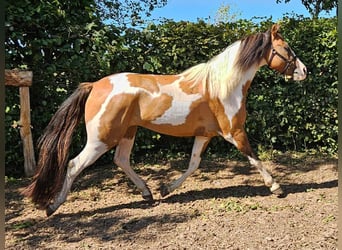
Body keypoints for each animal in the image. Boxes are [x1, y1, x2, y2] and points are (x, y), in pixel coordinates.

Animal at [23, 24, 308, 217]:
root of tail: (94, 85)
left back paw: (148, 193)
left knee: (121, 160)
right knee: (74, 164)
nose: (305, 71)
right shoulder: (234, 132)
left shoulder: (205, 134)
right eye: (287, 49)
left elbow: (193, 164)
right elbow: (254, 158)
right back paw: (52, 206)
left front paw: (166, 189)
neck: (222, 86)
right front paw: (276, 187)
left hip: (128, 132)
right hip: (101, 139)